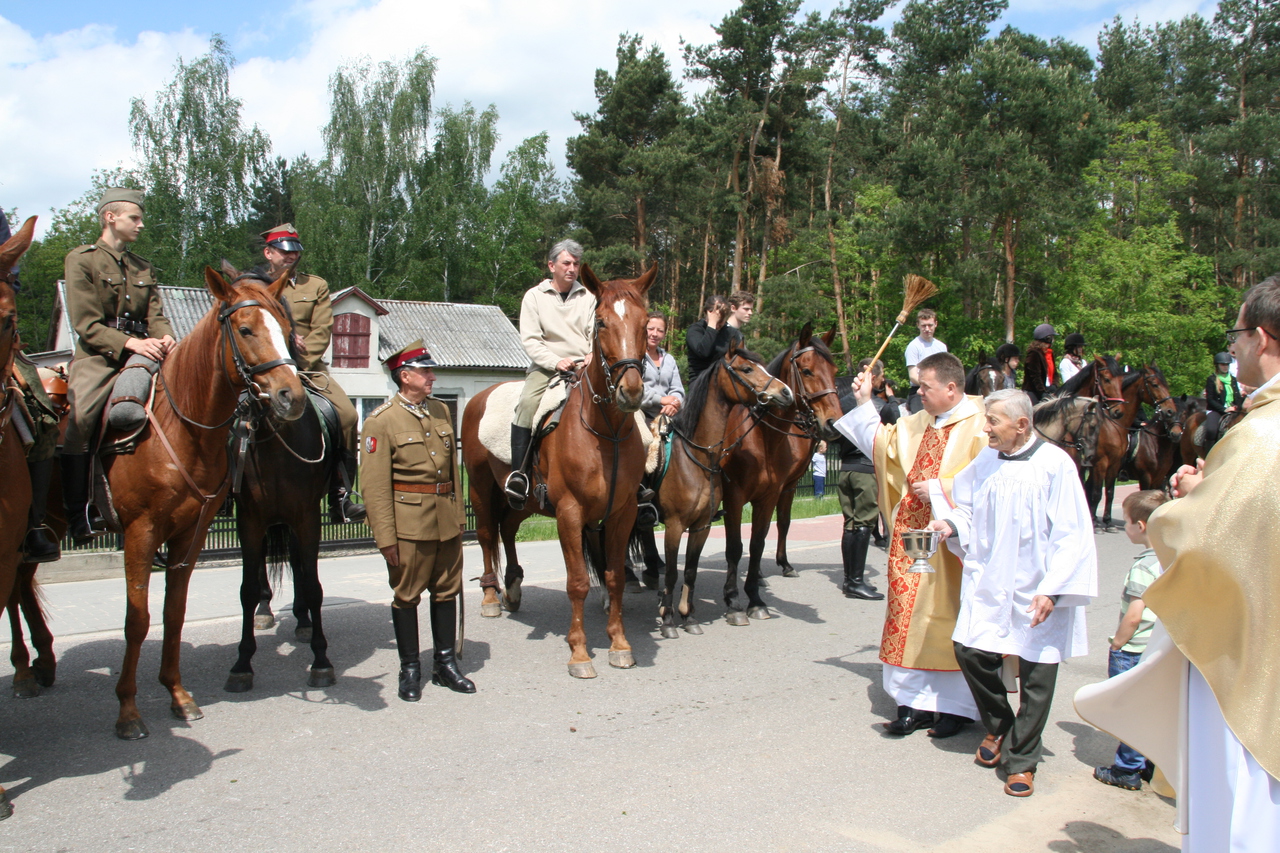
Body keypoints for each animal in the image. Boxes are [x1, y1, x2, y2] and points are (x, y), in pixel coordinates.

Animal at [105, 267, 304, 737]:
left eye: (286, 329)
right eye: (245, 330)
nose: (292, 397)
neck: (185, 428)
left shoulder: (190, 532)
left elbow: (174, 612)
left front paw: (178, 695)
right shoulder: (140, 531)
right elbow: (138, 619)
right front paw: (128, 710)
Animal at [222, 266, 337, 691]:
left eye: (285, 326)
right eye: (243, 329)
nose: (290, 397)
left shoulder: (306, 515)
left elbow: (314, 584)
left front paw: (320, 657)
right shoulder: (249, 519)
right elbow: (246, 587)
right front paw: (242, 663)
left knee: (300, 566)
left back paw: (302, 619)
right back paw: (267, 611)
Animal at [463, 266, 655, 676]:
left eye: (645, 323)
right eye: (601, 322)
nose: (630, 392)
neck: (604, 433)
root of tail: (480, 397)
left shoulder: (621, 513)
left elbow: (615, 577)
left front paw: (619, 644)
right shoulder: (570, 512)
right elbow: (578, 581)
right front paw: (579, 652)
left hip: (522, 501)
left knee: (507, 530)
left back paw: (513, 586)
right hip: (481, 488)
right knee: (487, 534)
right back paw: (490, 597)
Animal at [655, 335, 793, 635]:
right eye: (747, 369)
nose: (786, 392)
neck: (697, 458)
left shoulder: (701, 526)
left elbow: (691, 570)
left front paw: (688, 617)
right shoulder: (674, 524)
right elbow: (671, 572)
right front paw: (668, 619)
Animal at [721, 322, 849, 622]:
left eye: (835, 370)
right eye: (807, 370)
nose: (834, 424)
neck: (762, 438)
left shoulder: (776, 491)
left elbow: (763, 538)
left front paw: (757, 591)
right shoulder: (734, 496)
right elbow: (735, 546)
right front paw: (733, 598)